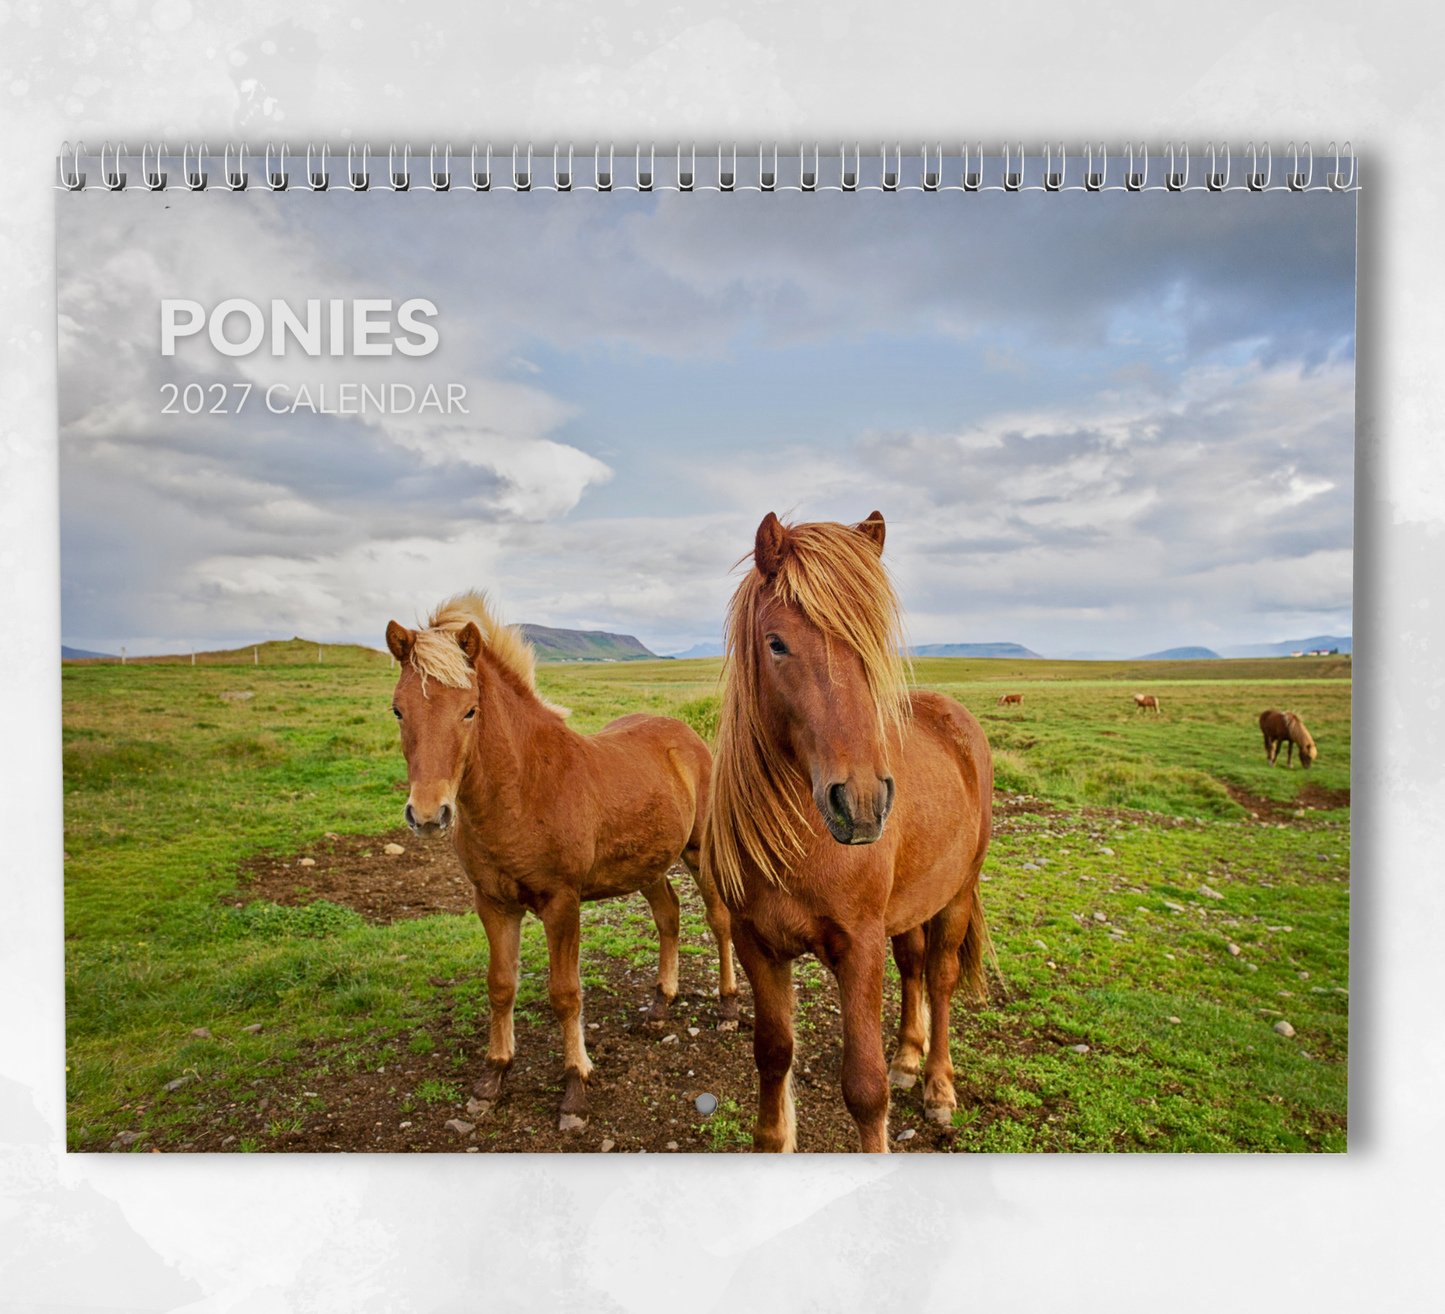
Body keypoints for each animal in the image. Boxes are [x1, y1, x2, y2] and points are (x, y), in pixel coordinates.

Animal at [385, 592, 738, 1132]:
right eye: (398, 710)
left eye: (469, 711)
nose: (428, 815)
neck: (523, 789)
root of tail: (686, 734)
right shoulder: (493, 904)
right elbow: (500, 987)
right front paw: (492, 1078)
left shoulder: (562, 904)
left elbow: (565, 995)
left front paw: (575, 1089)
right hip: (647, 865)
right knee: (668, 915)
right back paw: (660, 1004)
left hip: (701, 853)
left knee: (718, 920)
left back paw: (728, 1006)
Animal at [701, 512, 995, 1153]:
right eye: (777, 642)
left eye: (872, 643)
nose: (861, 803)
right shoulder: (757, 943)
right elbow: (773, 1054)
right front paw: (774, 1137)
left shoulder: (859, 947)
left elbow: (864, 1087)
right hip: (909, 907)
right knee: (912, 965)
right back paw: (909, 1058)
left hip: (957, 896)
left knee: (939, 978)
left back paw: (938, 1086)